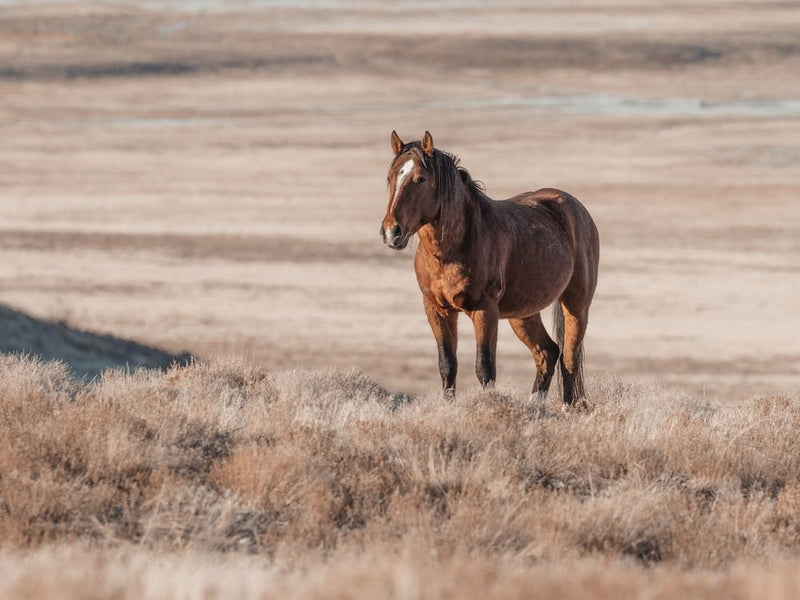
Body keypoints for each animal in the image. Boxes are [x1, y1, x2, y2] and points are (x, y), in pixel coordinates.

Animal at [380, 131, 599, 410]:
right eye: (390, 178)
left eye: (420, 179)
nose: (391, 232)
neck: (455, 246)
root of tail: (576, 208)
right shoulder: (436, 308)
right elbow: (447, 365)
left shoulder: (484, 309)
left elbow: (484, 367)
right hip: (523, 313)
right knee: (547, 353)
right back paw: (535, 405)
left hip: (576, 304)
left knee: (569, 357)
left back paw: (566, 409)